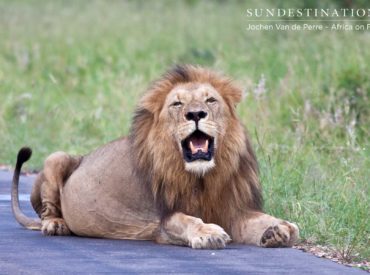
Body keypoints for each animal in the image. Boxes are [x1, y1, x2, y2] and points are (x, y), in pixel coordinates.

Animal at [13, 65, 300, 250]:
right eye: (177, 104)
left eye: (210, 100)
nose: (196, 114)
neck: (203, 177)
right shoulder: (164, 219)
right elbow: (187, 220)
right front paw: (208, 233)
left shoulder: (233, 210)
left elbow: (260, 219)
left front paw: (280, 228)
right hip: (56, 157)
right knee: (46, 211)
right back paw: (55, 225)